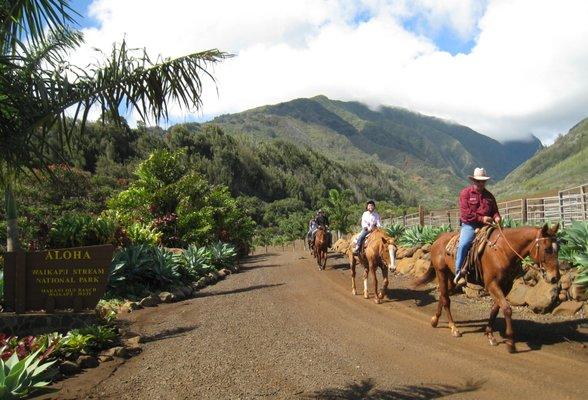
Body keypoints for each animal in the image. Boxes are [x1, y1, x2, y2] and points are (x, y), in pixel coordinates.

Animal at [414, 223, 560, 352]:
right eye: (547, 249)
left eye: (558, 249)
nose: (555, 277)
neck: (503, 251)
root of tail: (438, 239)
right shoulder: (492, 284)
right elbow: (507, 309)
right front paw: (510, 343)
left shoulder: (506, 285)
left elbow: (495, 309)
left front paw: (490, 334)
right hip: (441, 273)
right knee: (446, 299)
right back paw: (454, 328)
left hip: (451, 277)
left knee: (443, 295)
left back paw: (435, 320)